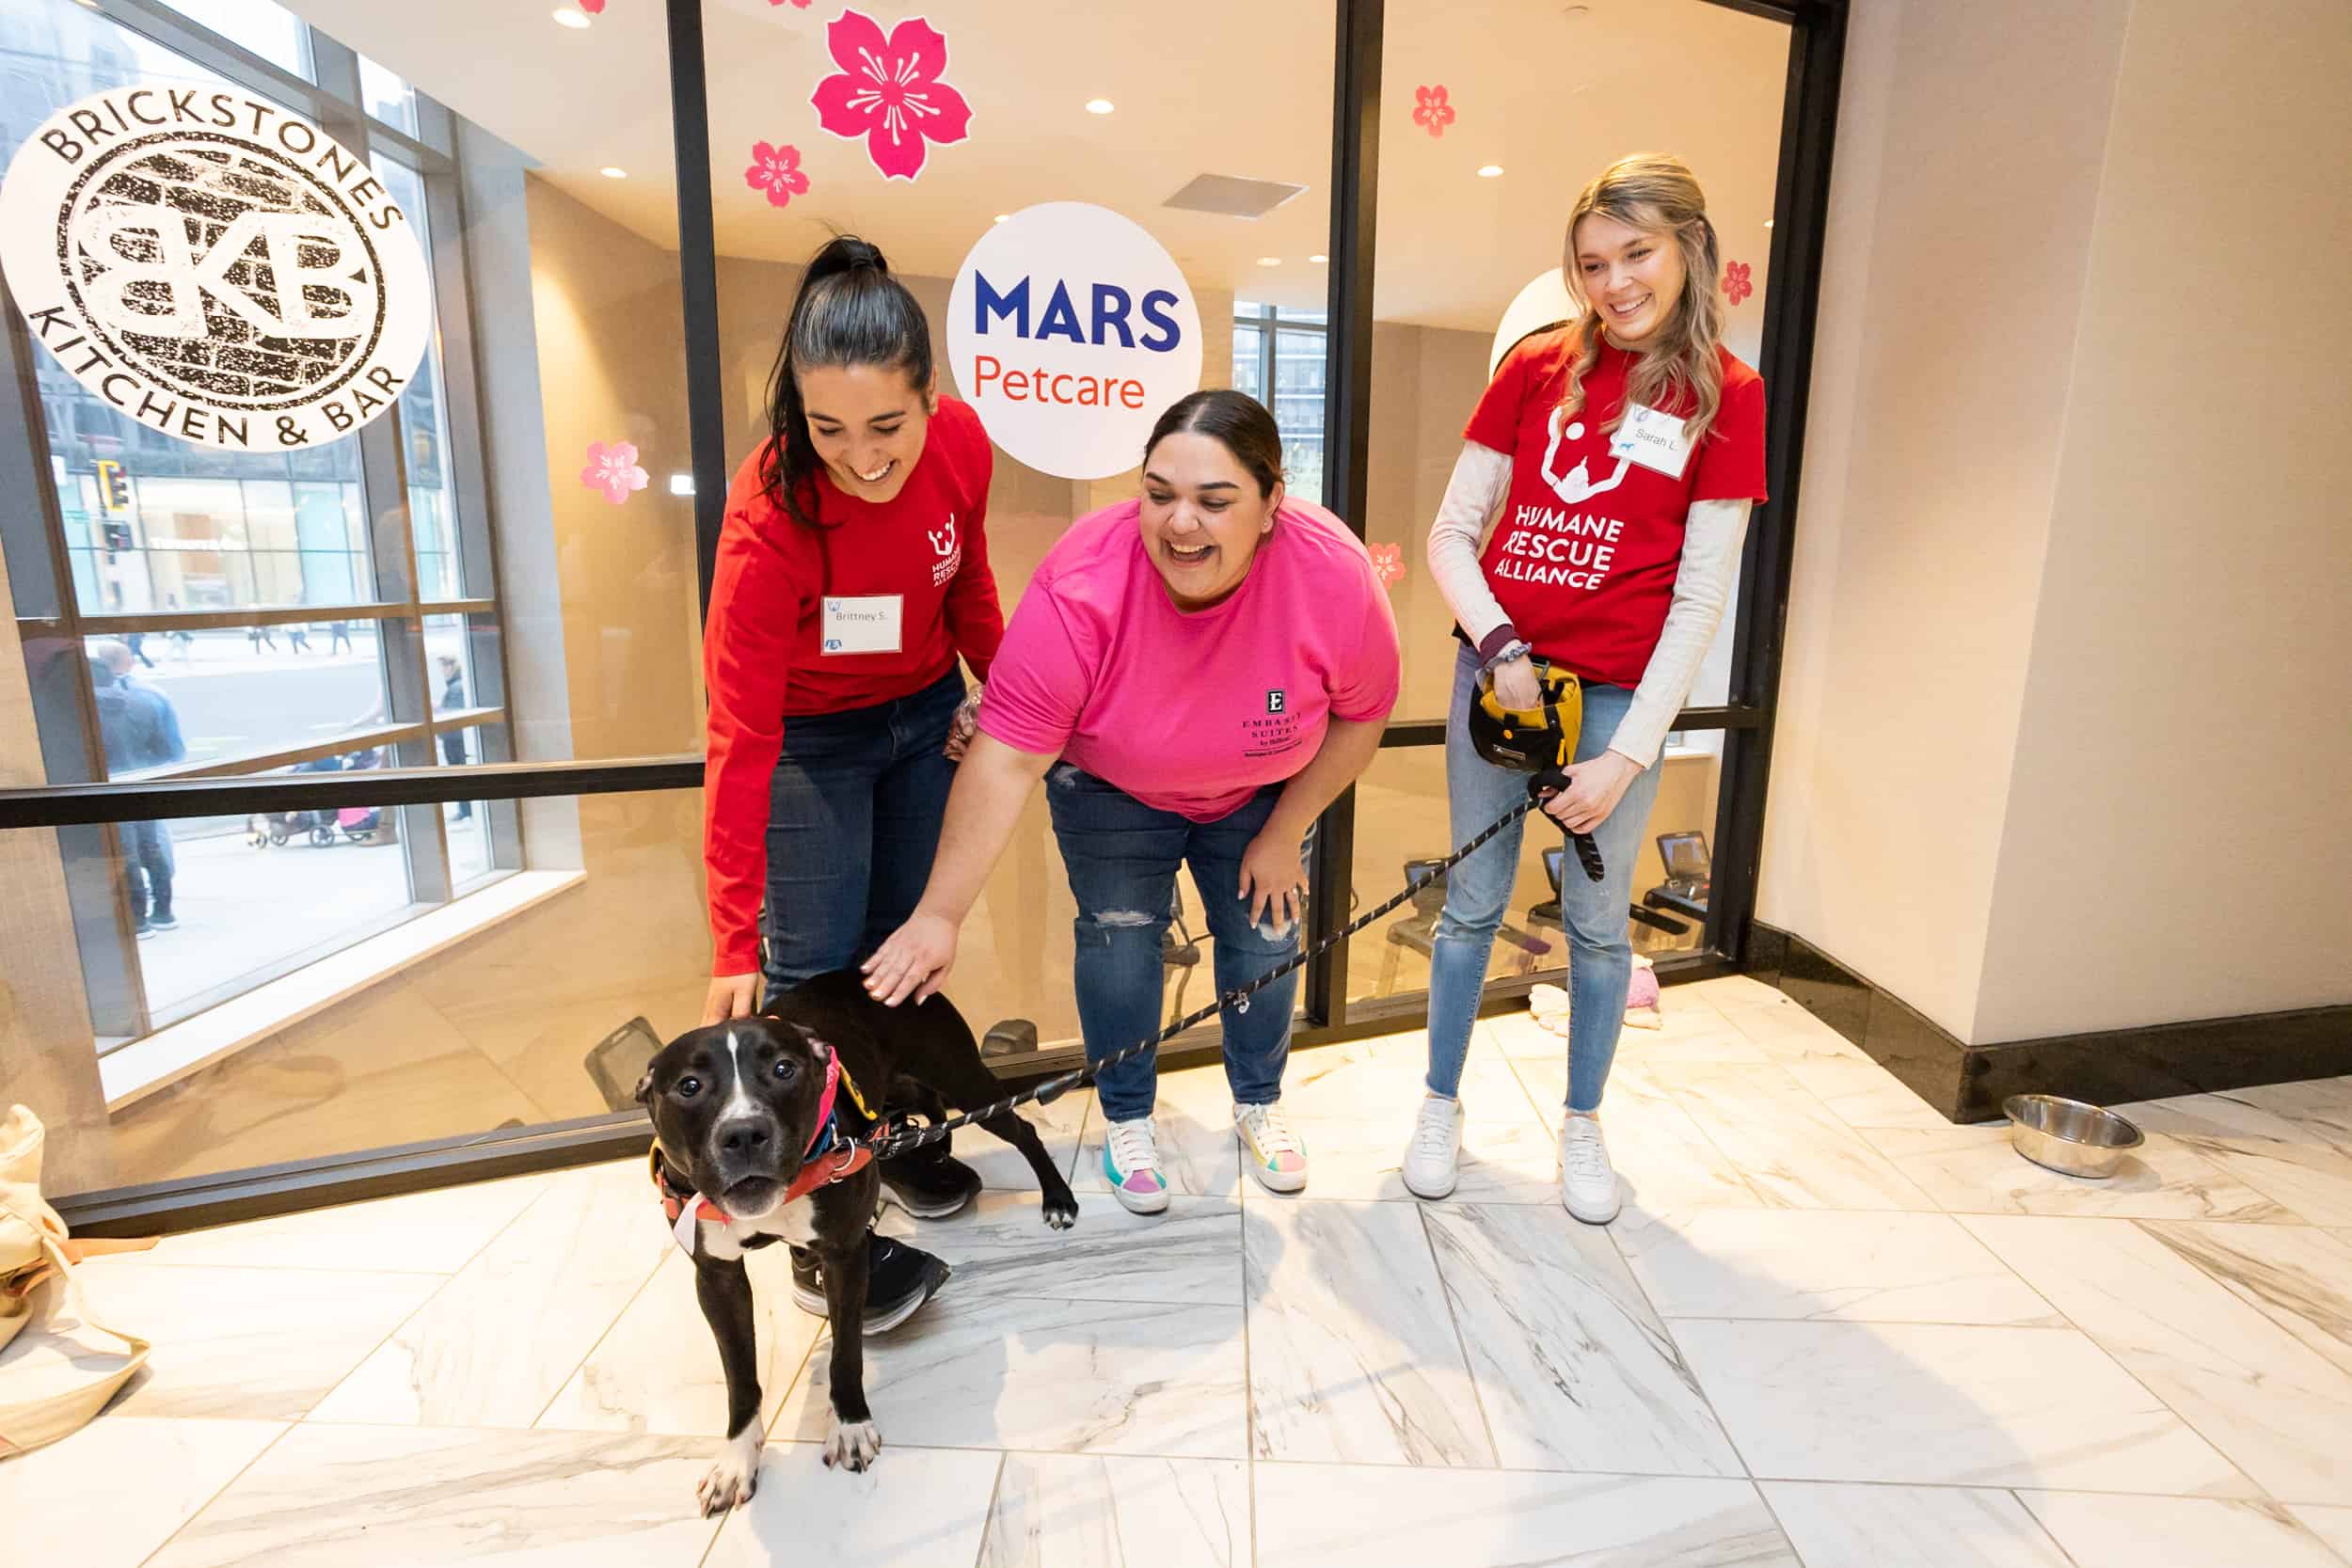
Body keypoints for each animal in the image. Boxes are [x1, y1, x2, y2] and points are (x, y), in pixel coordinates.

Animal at [644, 973, 1082, 1513]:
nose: (744, 1133)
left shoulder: (845, 1258)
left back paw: (1056, 1197)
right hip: (902, 1087)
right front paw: (736, 1460)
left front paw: (850, 1426)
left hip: (962, 1075)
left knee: (1021, 1127)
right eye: (689, 1086)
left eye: (784, 1069)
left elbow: (846, 1350)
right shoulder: (717, 1277)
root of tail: (858, 971)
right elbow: (739, 1375)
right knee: (922, 1112)